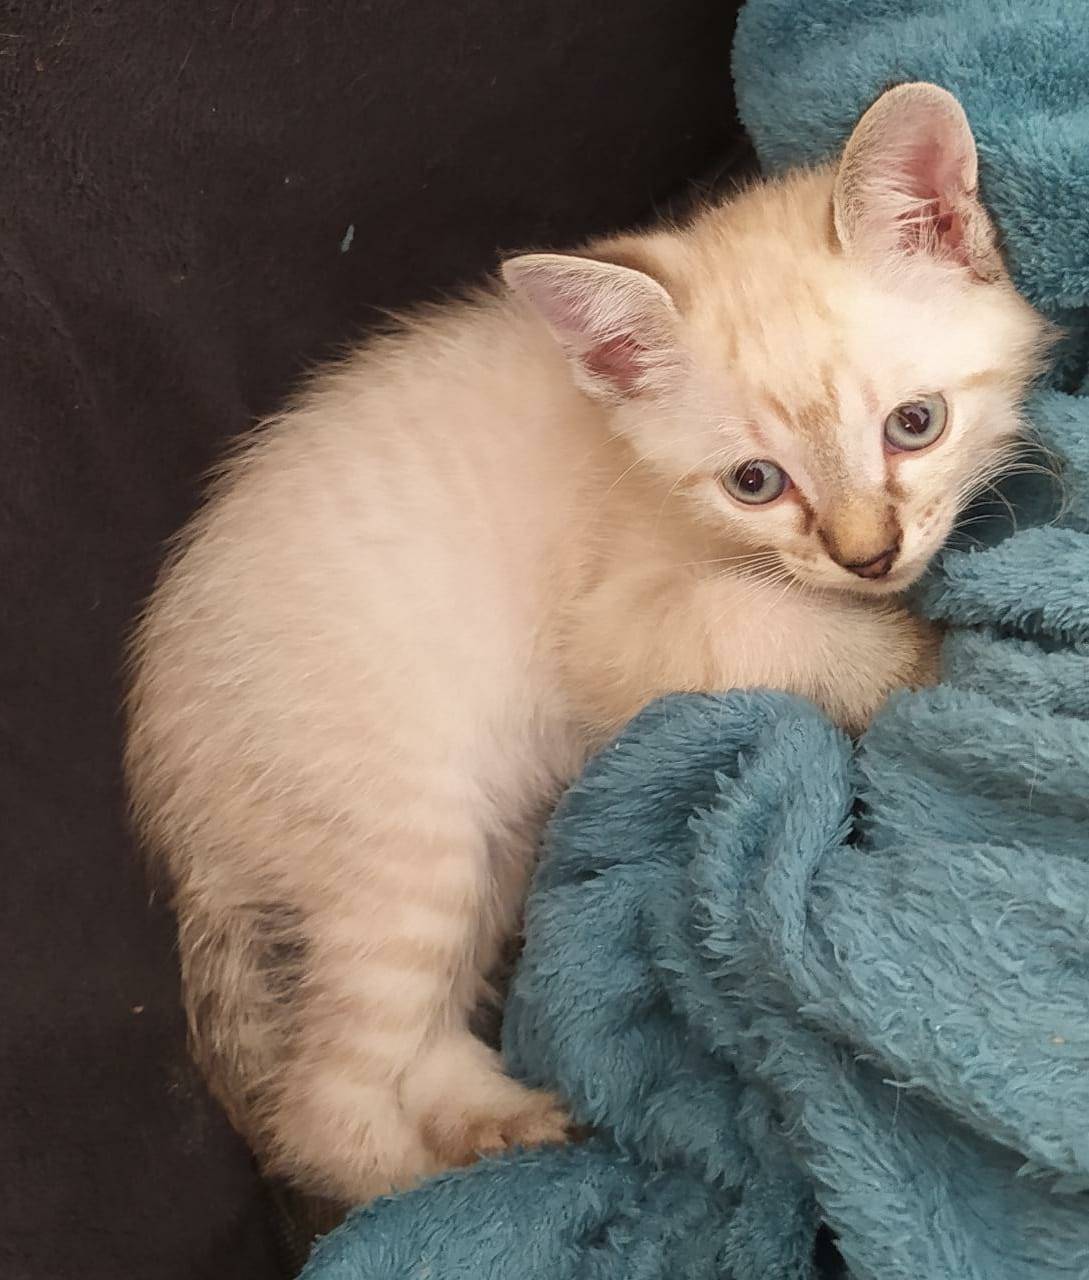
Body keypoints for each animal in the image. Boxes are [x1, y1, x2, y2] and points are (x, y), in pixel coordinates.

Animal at [125, 82, 1050, 1205]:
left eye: (915, 424)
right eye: (754, 482)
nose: (869, 556)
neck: (633, 463)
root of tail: (170, 790)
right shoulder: (611, 630)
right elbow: (754, 619)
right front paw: (916, 655)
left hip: (487, 842)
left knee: (416, 1048)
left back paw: (509, 1117)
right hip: (404, 832)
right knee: (326, 1107)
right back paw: (484, 1162)